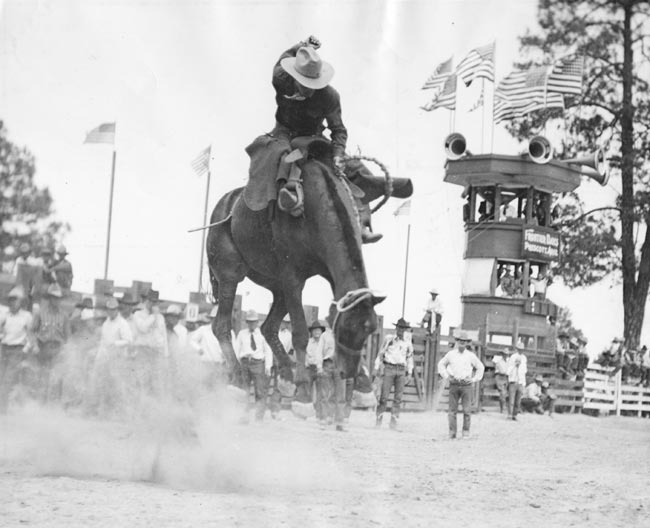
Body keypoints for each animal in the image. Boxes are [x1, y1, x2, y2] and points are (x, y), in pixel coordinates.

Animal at [205, 136, 412, 400]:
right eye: (345, 330)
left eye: (370, 330)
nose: (347, 374)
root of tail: (222, 207)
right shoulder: (293, 277)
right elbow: (301, 333)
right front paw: (303, 388)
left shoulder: (328, 274)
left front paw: (363, 386)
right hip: (230, 274)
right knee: (221, 325)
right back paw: (240, 376)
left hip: (278, 288)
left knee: (268, 328)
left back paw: (286, 375)